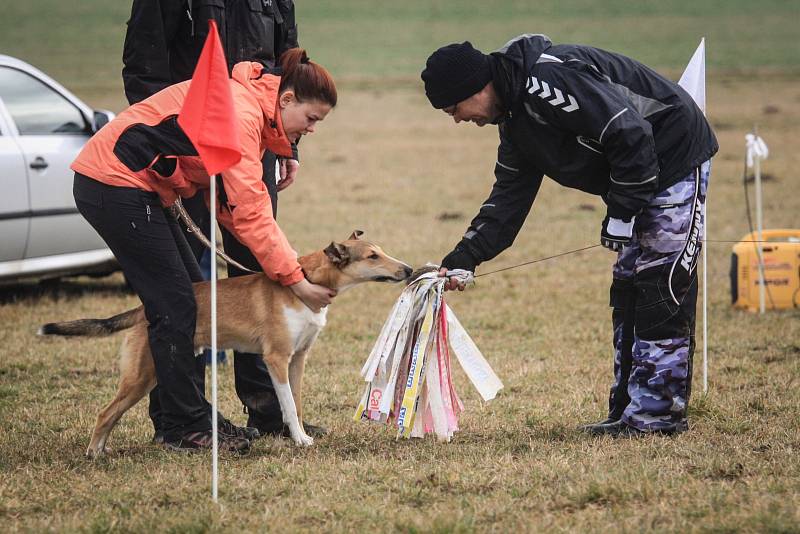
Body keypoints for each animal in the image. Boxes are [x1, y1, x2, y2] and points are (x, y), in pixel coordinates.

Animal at [37, 232, 412, 458]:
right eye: (372, 256)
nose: (408, 269)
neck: (304, 283)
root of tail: (144, 308)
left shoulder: (299, 358)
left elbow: (297, 403)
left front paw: (301, 435)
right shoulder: (276, 358)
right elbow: (288, 405)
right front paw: (300, 440)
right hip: (141, 375)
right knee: (105, 413)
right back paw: (94, 454)